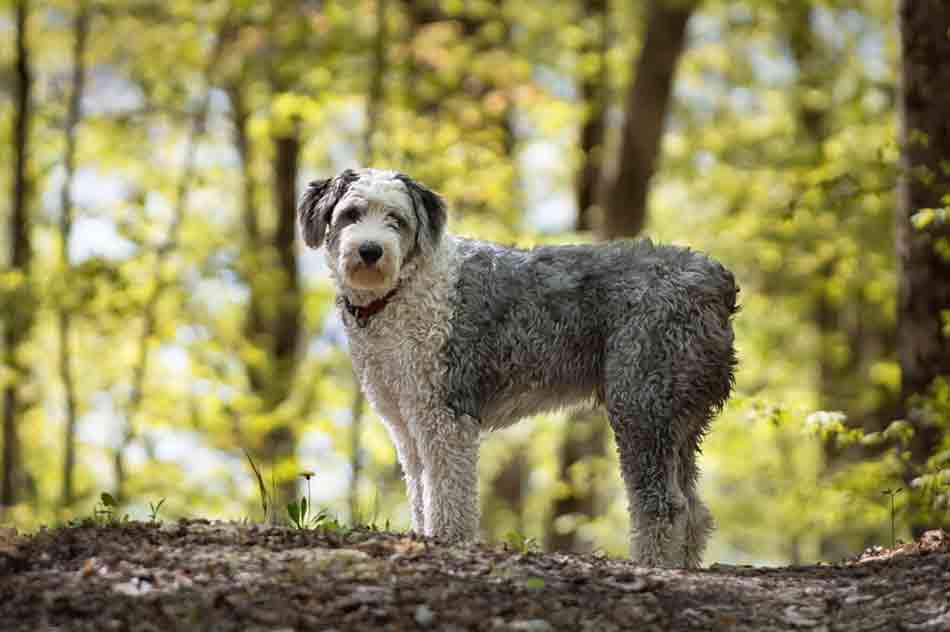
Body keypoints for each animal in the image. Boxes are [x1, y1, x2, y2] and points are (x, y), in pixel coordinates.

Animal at [302, 168, 740, 568]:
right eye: (351, 214)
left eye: (396, 218)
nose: (370, 250)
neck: (402, 290)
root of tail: (715, 280)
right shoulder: (407, 424)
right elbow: (422, 491)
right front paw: (425, 537)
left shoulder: (446, 415)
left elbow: (448, 492)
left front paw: (447, 541)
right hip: (677, 419)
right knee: (695, 509)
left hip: (641, 408)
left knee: (664, 505)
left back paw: (655, 565)